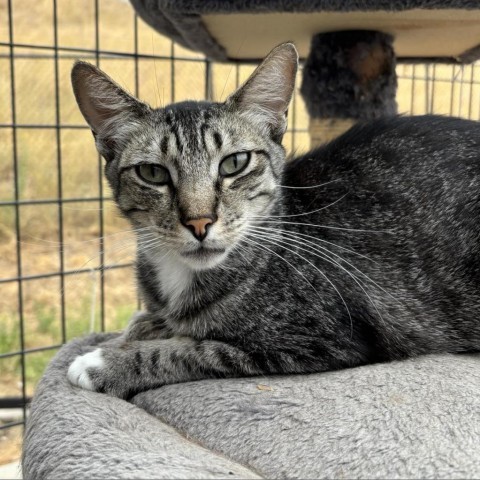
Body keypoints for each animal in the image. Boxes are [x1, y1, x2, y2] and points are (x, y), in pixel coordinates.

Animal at [66, 44, 480, 398]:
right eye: (152, 173)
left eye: (235, 163)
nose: (199, 222)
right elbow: (158, 324)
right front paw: (139, 328)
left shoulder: (318, 340)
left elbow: (195, 349)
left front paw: (106, 363)